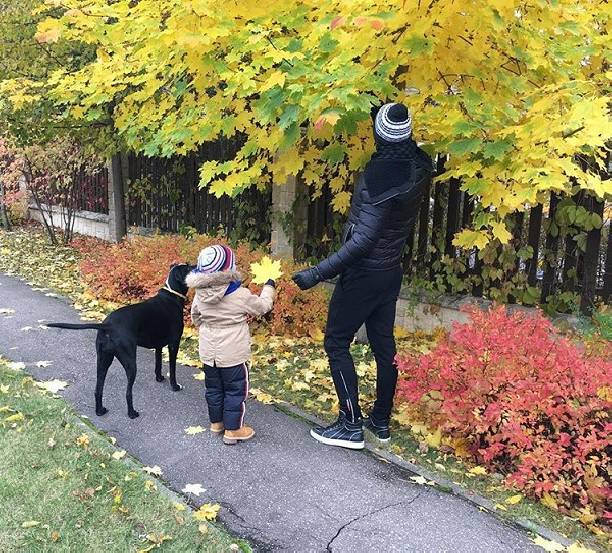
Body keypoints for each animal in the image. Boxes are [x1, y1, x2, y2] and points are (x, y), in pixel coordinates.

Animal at [46, 264, 192, 418]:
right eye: (188, 268)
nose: (196, 266)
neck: (172, 295)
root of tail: (107, 325)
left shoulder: (158, 345)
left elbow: (158, 364)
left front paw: (159, 378)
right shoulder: (174, 344)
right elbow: (172, 368)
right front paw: (175, 386)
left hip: (103, 360)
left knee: (98, 389)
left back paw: (100, 411)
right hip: (130, 363)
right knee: (128, 393)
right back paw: (132, 413)